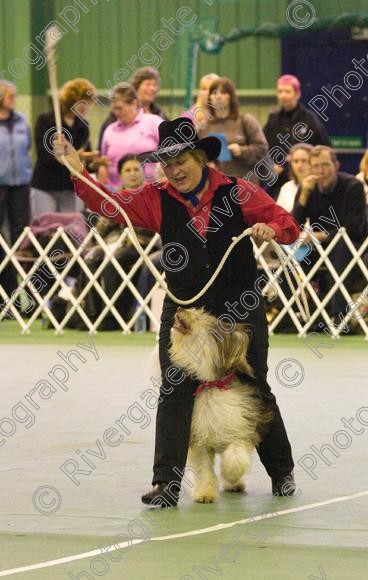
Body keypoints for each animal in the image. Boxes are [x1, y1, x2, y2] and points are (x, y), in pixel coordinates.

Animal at [170, 308, 270, 502]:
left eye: (200, 316)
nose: (179, 308)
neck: (212, 386)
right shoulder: (200, 441)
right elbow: (204, 469)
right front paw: (205, 494)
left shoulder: (242, 429)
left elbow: (235, 456)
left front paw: (231, 475)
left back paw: (235, 484)